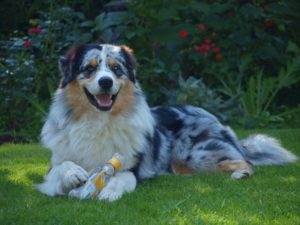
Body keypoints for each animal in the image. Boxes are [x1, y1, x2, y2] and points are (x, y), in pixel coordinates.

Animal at [37, 43, 298, 201]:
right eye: (89, 68)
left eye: (116, 68)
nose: (105, 82)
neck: (98, 121)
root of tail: (217, 121)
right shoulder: (53, 165)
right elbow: (61, 167)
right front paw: (73, 174)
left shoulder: (132, 167)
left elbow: (122, 176)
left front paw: (109, 190)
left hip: (194, 155)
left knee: (246, 162)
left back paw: (241, 174)